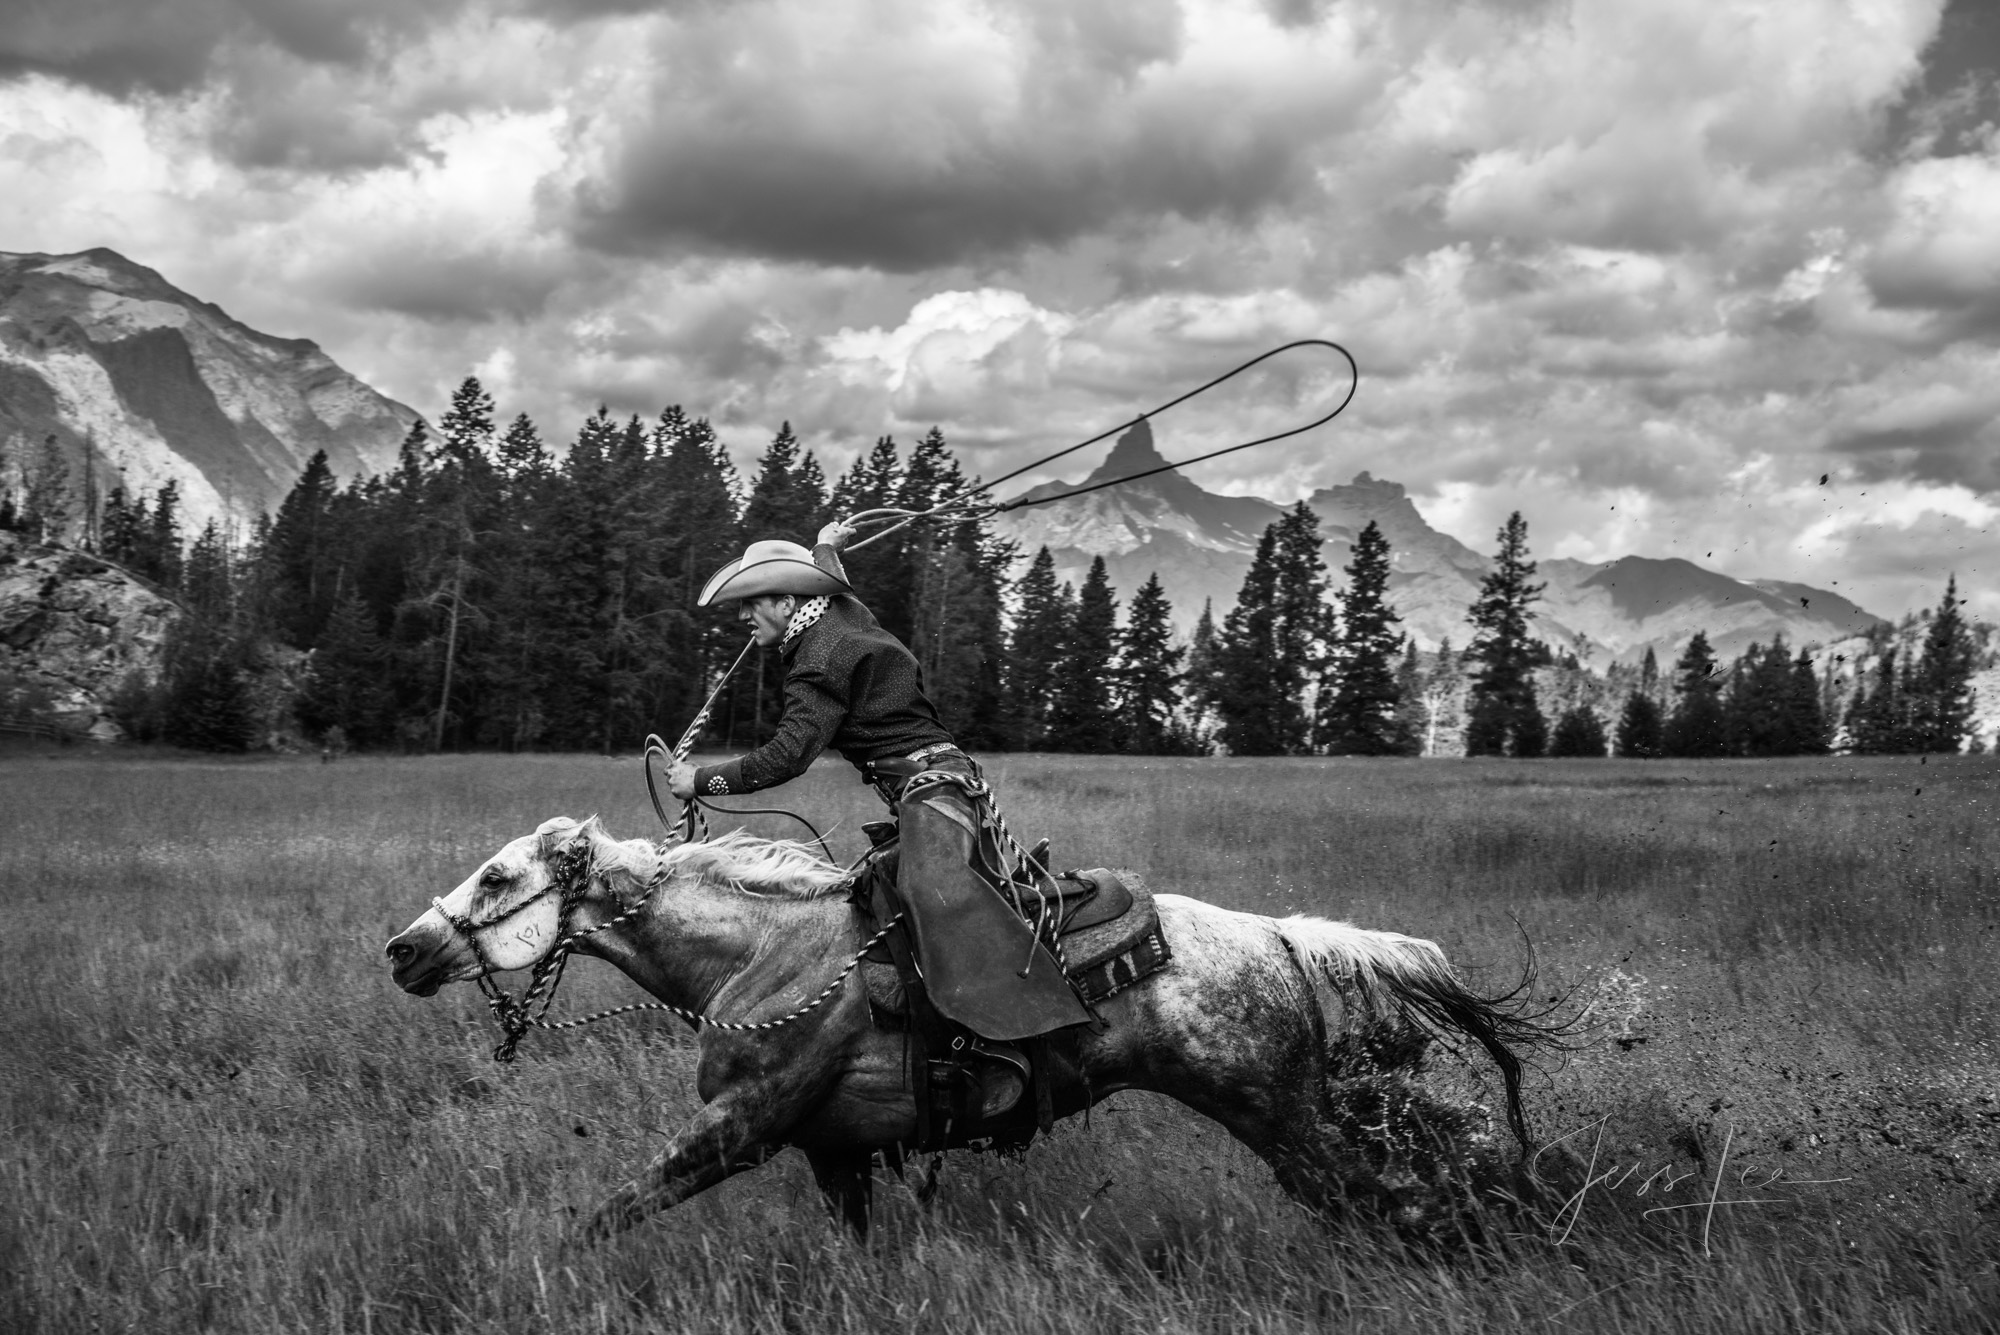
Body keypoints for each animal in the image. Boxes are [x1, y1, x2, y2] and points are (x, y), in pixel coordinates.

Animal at [382, 819, 1552, 1247]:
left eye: (498, 877)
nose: (402, 948)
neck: (766, 950)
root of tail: (1276, 935)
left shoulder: (741, 1127)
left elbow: (603, 1212)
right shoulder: (836, 1153)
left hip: (1282, 1119)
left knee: (1400, 1195)